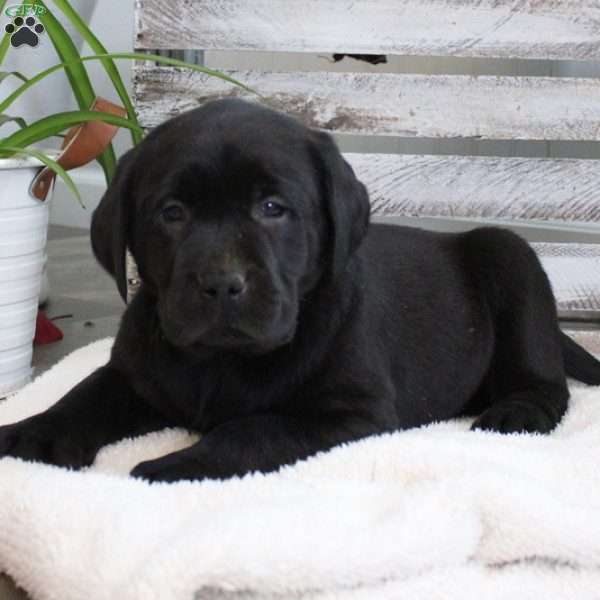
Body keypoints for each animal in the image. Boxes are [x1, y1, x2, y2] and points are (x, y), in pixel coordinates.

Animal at [1, 99, 600, 482]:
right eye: (172, 213)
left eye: (273, 208)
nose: (221, 282)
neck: (220, 361)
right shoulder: (134, 376)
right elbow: (81, 397)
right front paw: (33, 435)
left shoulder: (350, 414)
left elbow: (252, 430)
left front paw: (178, 465)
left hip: (512, 260)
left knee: (548, 385)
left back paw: (515, 414)